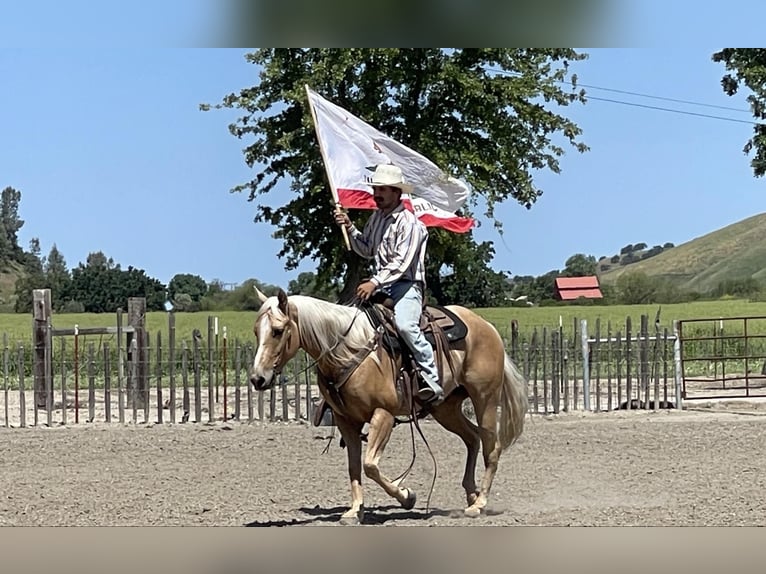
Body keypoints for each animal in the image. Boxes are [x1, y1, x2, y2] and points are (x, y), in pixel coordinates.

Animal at [250, 288, 528, 528]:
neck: (347, 350)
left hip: (485, 399)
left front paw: (407, 495)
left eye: (277, 331)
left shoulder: (383, 414)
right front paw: (355, 510)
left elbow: (370, 465)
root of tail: (486, 327)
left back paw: (479, 504)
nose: (257, 379)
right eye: (256, 331)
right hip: (445, 408)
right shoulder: (345, 420)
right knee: (472, 438)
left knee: (492, 448)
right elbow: (354, 466)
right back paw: (472, 494)